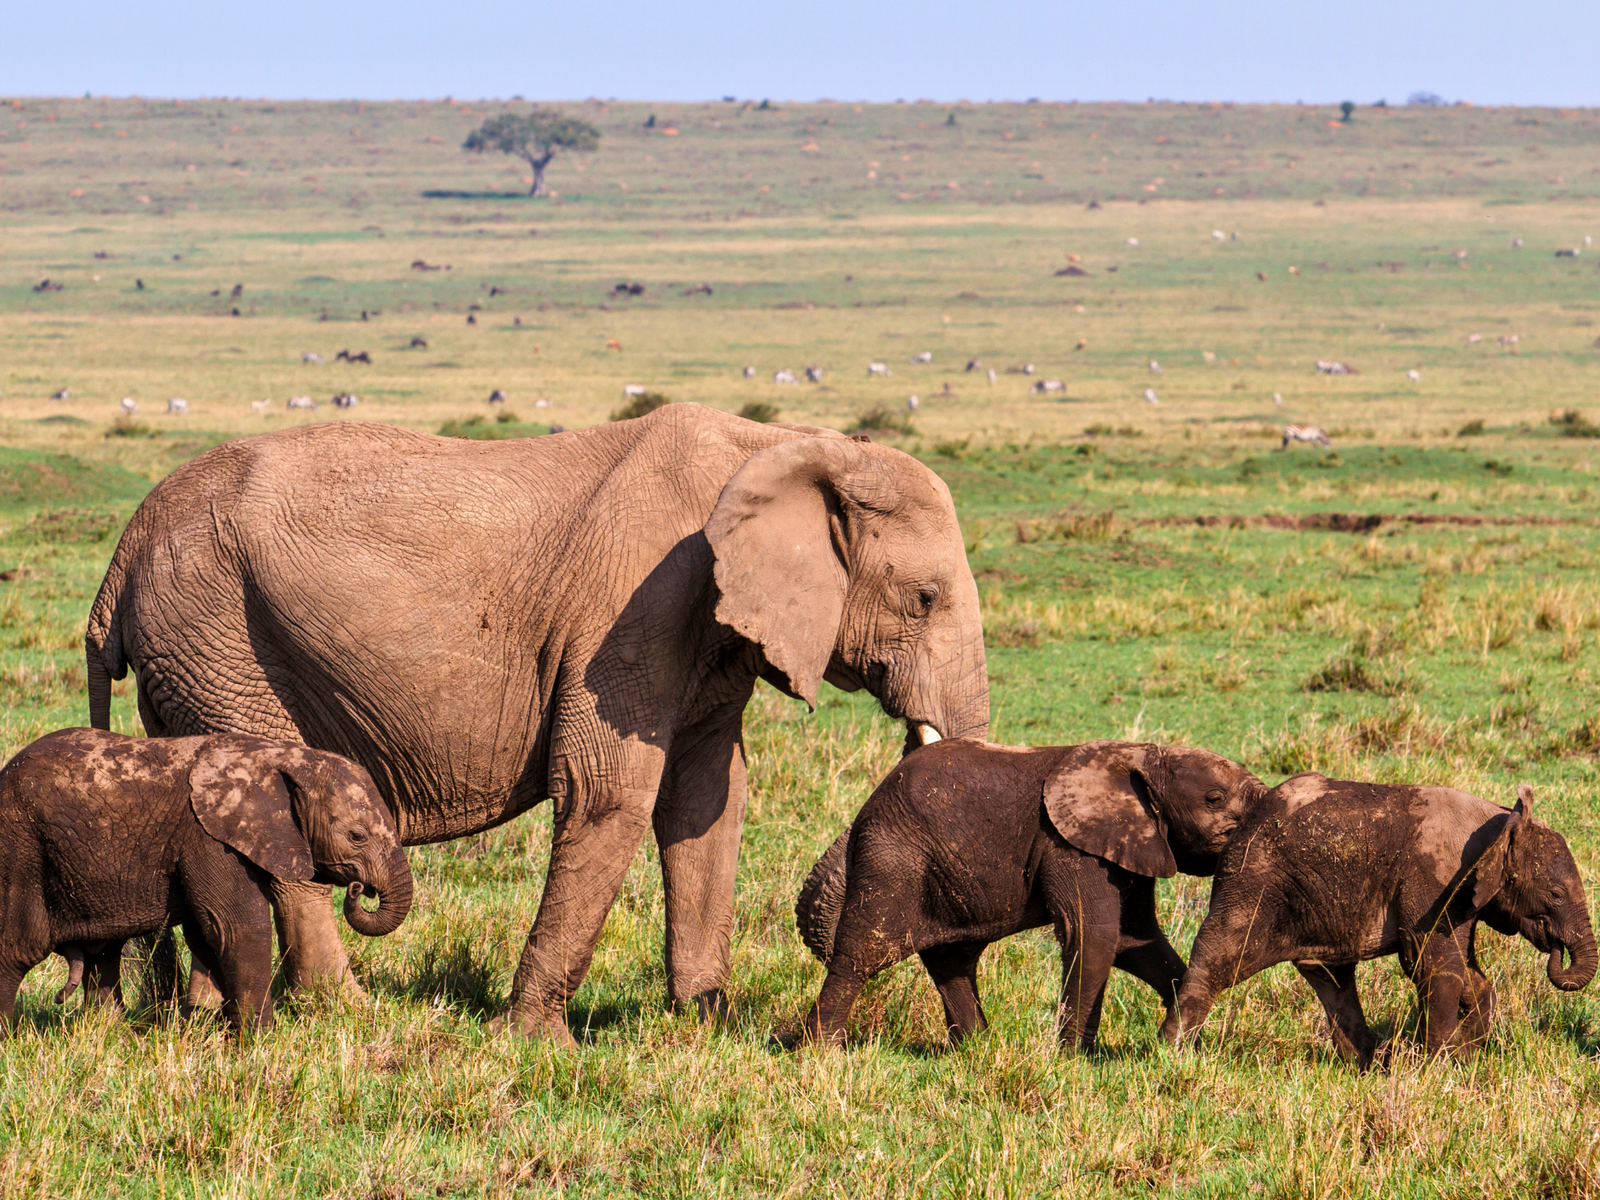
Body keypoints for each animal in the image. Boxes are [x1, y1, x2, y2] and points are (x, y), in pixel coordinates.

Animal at [0, 728, 411, 1033]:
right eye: (357, 836)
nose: (360, 888)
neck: (282, 758)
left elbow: (208, 934)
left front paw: (225, 1032)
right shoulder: (208, 837)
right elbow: (237, 927)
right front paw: (259, 1041)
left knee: (103, 954)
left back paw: (110, 1034)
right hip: (21, 850)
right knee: (17, 948)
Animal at [85, 404, 989, 1043]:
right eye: (925, 598)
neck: (782, 444)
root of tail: (120, 557)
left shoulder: (713, 628)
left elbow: (707, 799)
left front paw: (704, 1027)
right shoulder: (637, 606)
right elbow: (610, 790)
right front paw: (539, 1043)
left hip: (188, 659)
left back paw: (207, 1015)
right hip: (215, 637)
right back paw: (350, 1014)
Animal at [795, 739, 1267, 1049]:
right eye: (1214, 798)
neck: (1143, 755)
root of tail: (860, 816)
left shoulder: (1132, 845)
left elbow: (1136, 941)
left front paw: (1190, 1041)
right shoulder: (1070, 845)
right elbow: (1094, 937)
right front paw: (1075, 1059)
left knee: (952, 959)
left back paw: (977, 1050)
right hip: (893, 857)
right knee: (863, 952)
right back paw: (823, 1053)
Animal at [1161, 777, 1596, 1068]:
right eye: (1556, 894)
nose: (1556, 949)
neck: (1498, 818)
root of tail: (1248, 819)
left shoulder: (1459, 892)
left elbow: (1466, 972)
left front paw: (1465, 1057)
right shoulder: (1433, 881)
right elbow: (1434, 966)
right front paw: (1438, 1067)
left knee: (1331, 978)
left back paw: (1369, 1065)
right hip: (1254, 879)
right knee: (1220, 957)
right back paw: (1173, 1051)